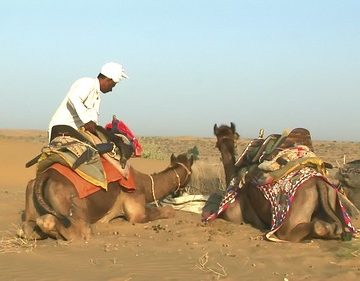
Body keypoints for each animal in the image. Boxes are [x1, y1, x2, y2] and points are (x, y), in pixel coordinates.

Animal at [19, 152, 194, 240]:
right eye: (191, 172)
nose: (187, 189)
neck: (145, 183)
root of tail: (45, 175)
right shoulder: (135, 207)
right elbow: (166, 211)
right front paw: (171, 209)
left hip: (30, 196)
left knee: (26, 228)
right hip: (70, 203)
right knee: (77, 230)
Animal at [210, 123, 356, 242]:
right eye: (219, 142)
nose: (224, 147)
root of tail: (319, 182)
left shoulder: (234, 214)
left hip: (291, 217)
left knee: (301, 230)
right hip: (332, 197)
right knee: (336, 226)